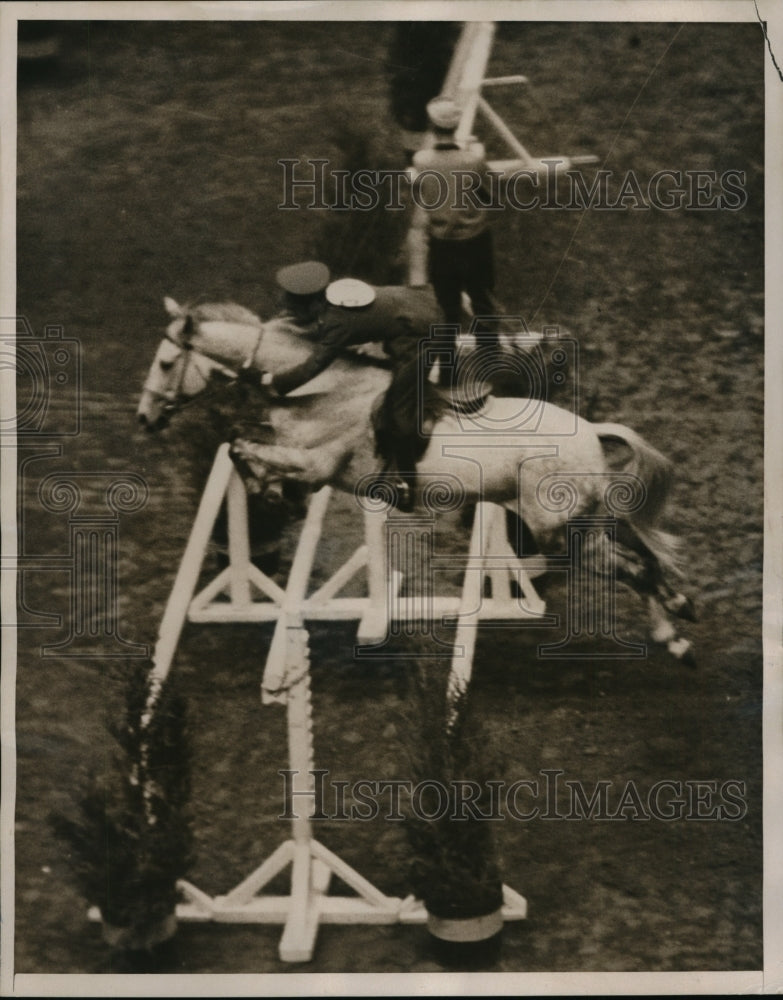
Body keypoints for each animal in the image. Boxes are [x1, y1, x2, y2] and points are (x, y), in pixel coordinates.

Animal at [138, 296, 696, 664]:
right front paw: (272, 492)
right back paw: (675, 624)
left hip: (563, 532)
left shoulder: (315, 464)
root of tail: (592, 433)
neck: (319, 386)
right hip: (586, 519)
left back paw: (675, 627)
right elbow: (242, 447)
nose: (144, 419)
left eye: (165, 363)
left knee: (632, 567)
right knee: (640, 554)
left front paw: (272, 492)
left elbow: (243, 448)